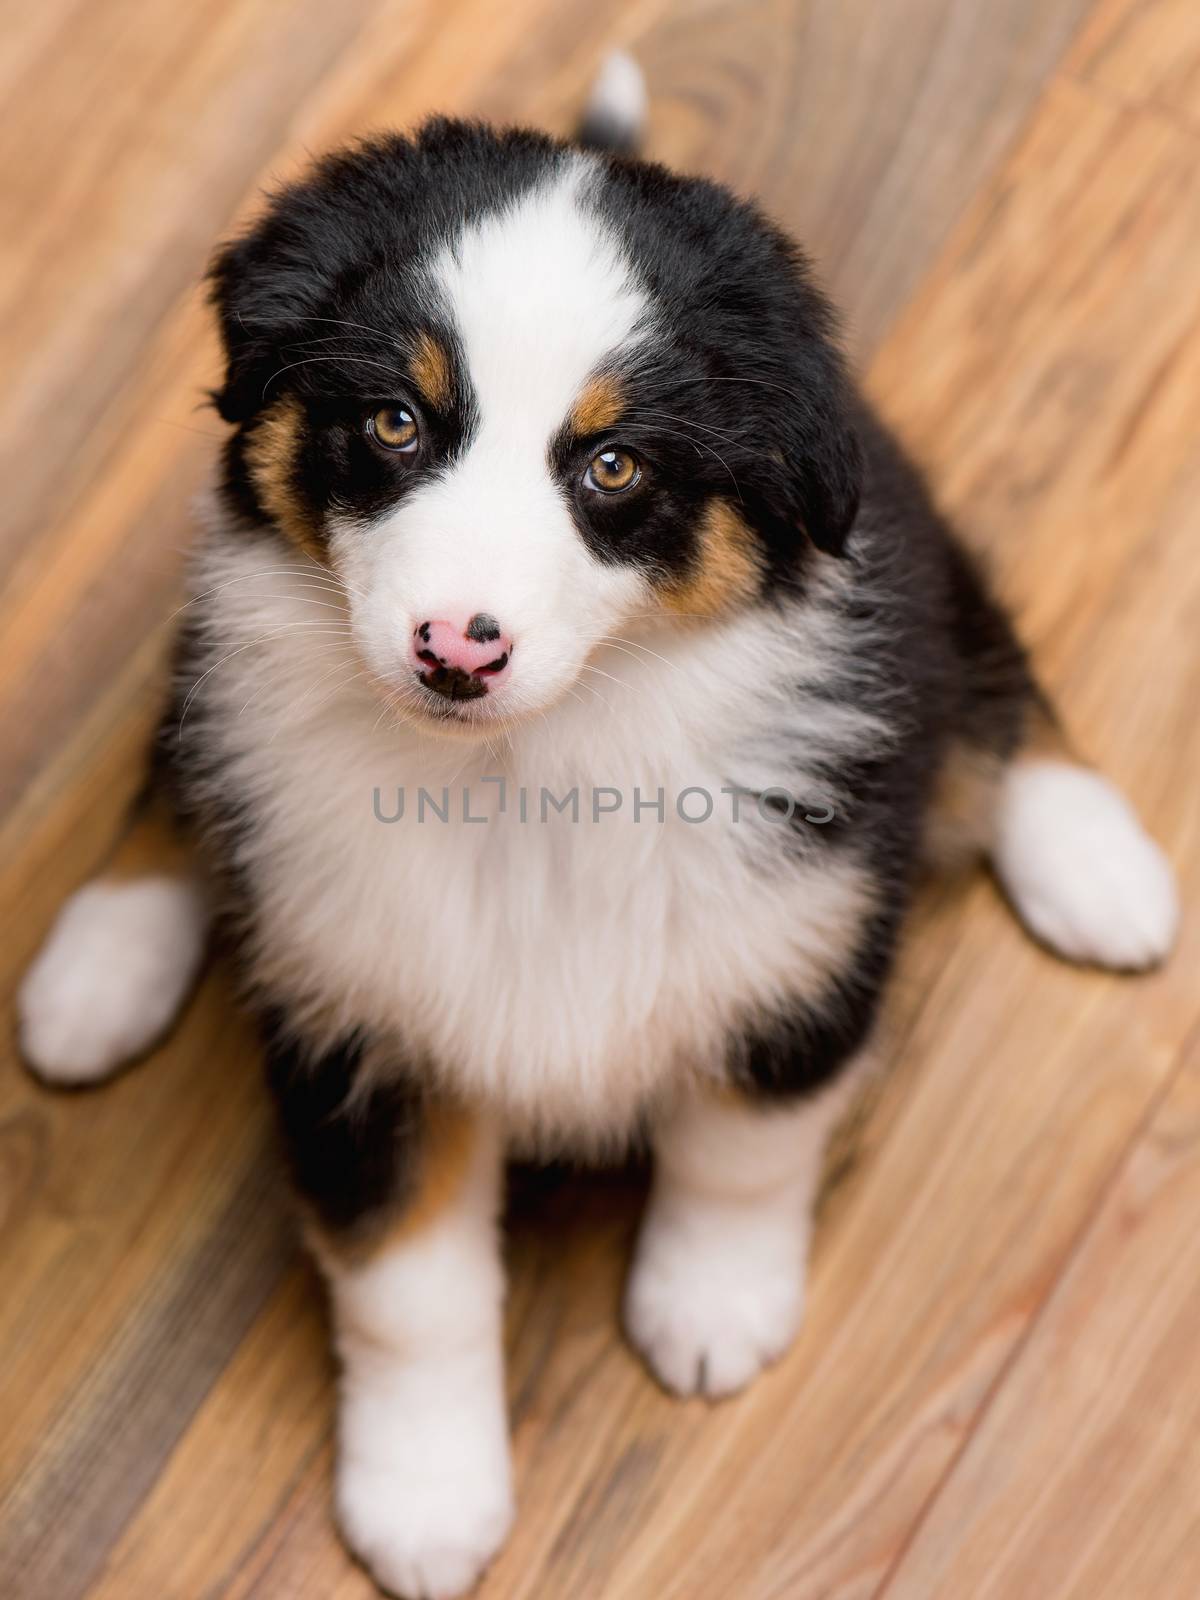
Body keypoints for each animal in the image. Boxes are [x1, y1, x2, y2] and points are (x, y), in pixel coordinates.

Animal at [21, 50, 1184, 1600]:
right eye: (395, 421)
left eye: (615, 466)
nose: (457, 649)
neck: (532, 773)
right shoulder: (357, 1028)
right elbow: (409, 1290)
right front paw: (427, 1497)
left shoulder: (803, 930)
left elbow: (745, 1145)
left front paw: (711, 1306)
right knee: (179, 738)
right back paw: (101, 967)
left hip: (907, 547)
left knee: (986, 663)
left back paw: (1094, 860)